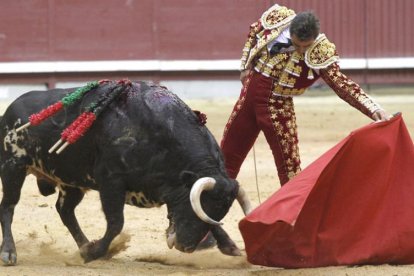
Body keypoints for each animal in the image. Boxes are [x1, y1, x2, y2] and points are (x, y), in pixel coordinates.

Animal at [0, 80, 251, 266]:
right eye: (195, 205)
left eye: (220, 210)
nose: (186, 247)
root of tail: (9, 111)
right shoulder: (111, 181)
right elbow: (115, 222)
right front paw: (96, 253)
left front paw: (230, 246)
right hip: (13, 167)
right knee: (8, 206)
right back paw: (9, 253)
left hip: (71, 183)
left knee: (65, 211)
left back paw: (84, 245)